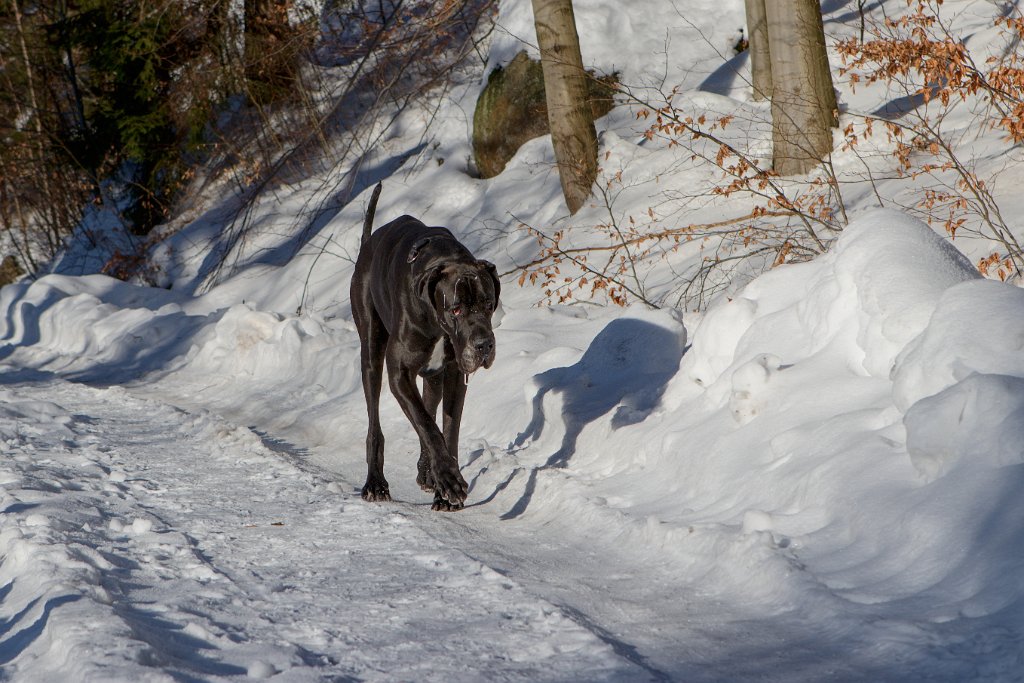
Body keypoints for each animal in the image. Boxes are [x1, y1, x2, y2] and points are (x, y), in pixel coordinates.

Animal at [348, 184, 499, 509]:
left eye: (489, 304)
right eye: (456, 309)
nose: (483, 345)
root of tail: (368, 245)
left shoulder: (454, 374)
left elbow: (446, 429)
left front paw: (445, 485)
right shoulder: (399, 373)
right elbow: (427, 424)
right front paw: (449, 479)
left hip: (433, 376)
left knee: (429, 406)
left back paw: (427, 473)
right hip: (371, 353)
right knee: (375, 423)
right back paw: (376, 483)